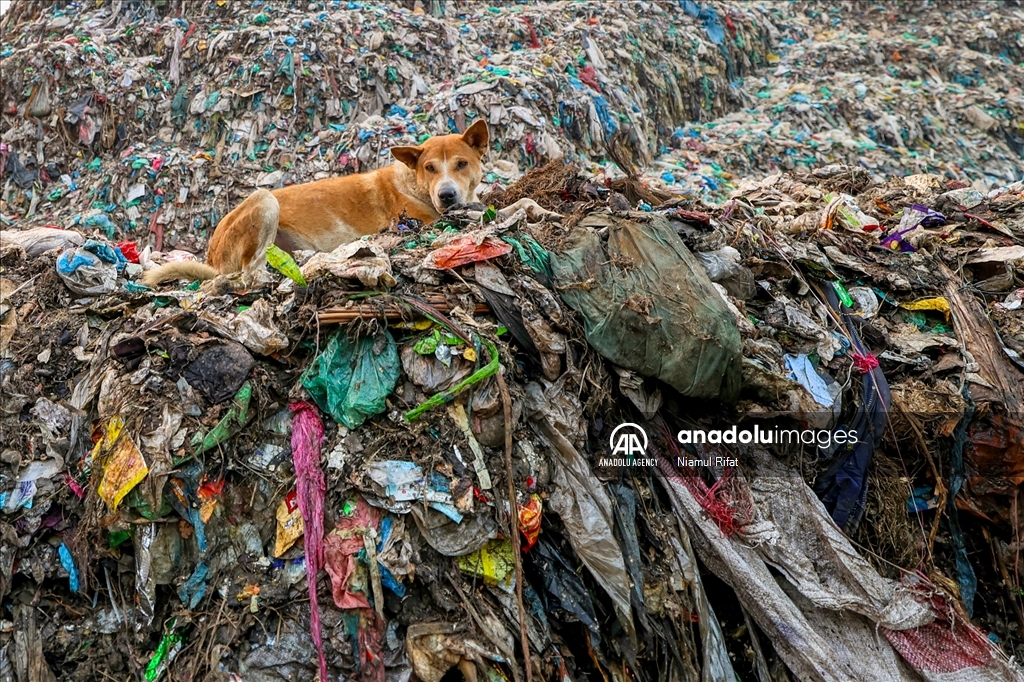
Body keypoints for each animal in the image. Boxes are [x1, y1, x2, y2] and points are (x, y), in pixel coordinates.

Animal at [145, 119, 548, 284]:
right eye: (430, 168)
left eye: (462, 164)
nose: (446, 195)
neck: (414, 184)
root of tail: (211, 257)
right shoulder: (433, 222)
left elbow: (517, 202)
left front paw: (541, 209)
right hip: (264, 201)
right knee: (248, 272)